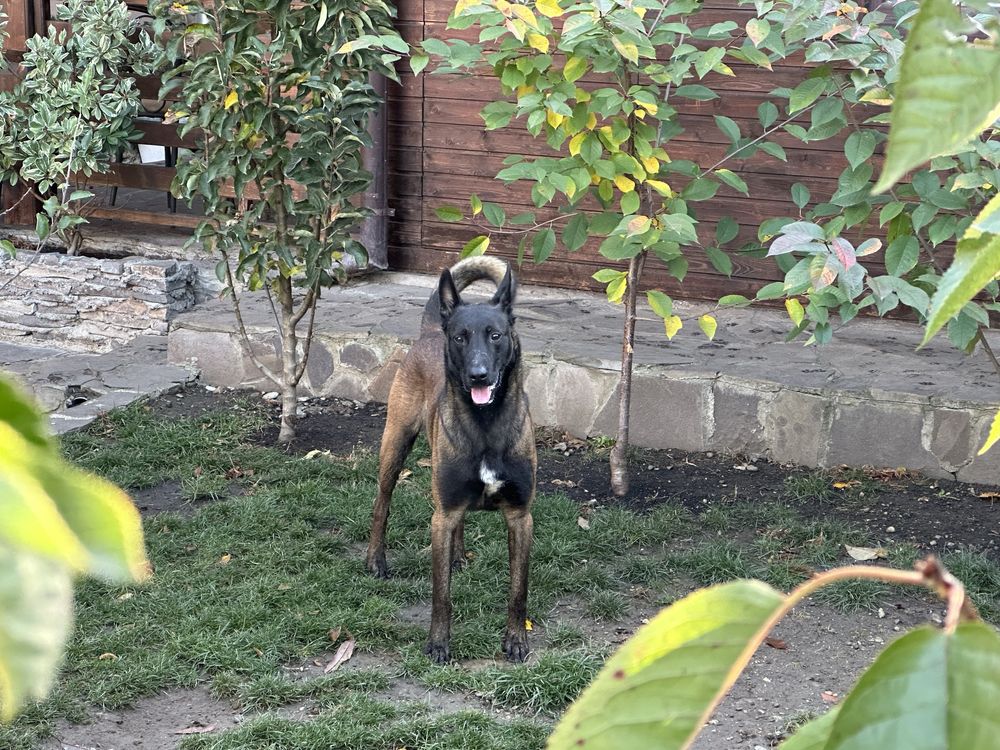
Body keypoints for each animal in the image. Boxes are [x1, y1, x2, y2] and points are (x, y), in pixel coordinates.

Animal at [366, 258, 536, 664]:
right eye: (460, 337)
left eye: (495, 335)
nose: (478, 375)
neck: (486, 424)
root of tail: (431, 329)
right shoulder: (439, 519)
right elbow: (440, 594)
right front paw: (439, 644)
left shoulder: (521, 518)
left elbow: (518, 590)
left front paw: (516, 640)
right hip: (395, 444)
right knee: (382, 502)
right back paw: (375, 560)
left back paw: (458, 557)